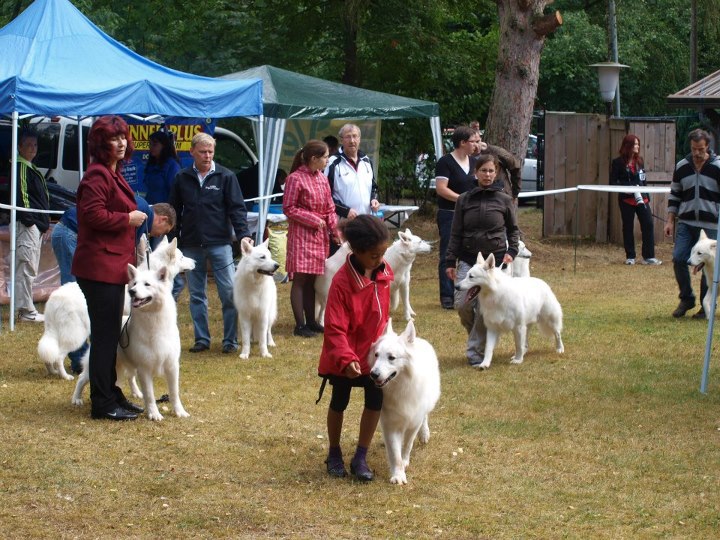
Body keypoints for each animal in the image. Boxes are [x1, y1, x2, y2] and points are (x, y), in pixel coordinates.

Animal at [368, 319, 441, 485]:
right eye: (376, 355)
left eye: (391, 357)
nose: (373, 374)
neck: (400, 387)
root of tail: (419, 340)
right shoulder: (390, 424)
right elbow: (395, 453)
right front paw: (398, 475)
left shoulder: (414, 422)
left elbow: (408, 444)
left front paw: (405, 461)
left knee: (425, 417)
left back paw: (424, 434)